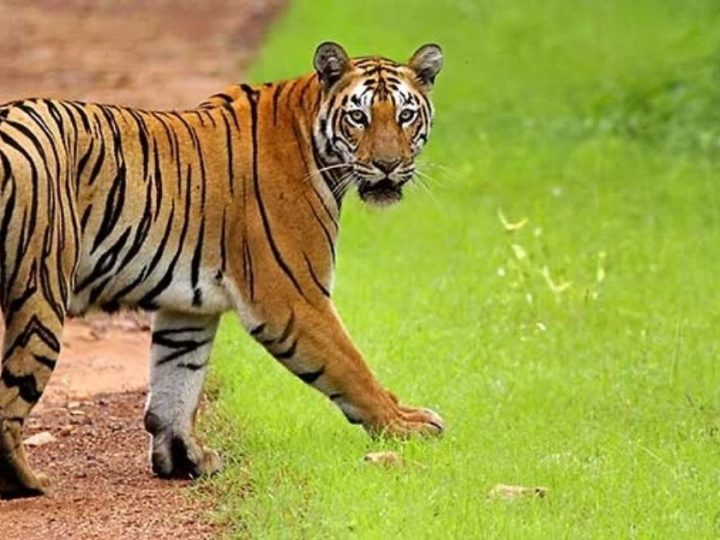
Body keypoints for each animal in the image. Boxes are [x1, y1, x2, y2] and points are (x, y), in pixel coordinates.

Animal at [0, 41, 444, 499]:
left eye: (405, 115)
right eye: (359, 117)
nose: (389, 164)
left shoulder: (187, 308)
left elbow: (176, 382)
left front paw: (186, 459)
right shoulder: (293, 299)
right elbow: (352, 367)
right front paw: (405, 426)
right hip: (41, 294)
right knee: (10, 400)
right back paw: (27, 482)